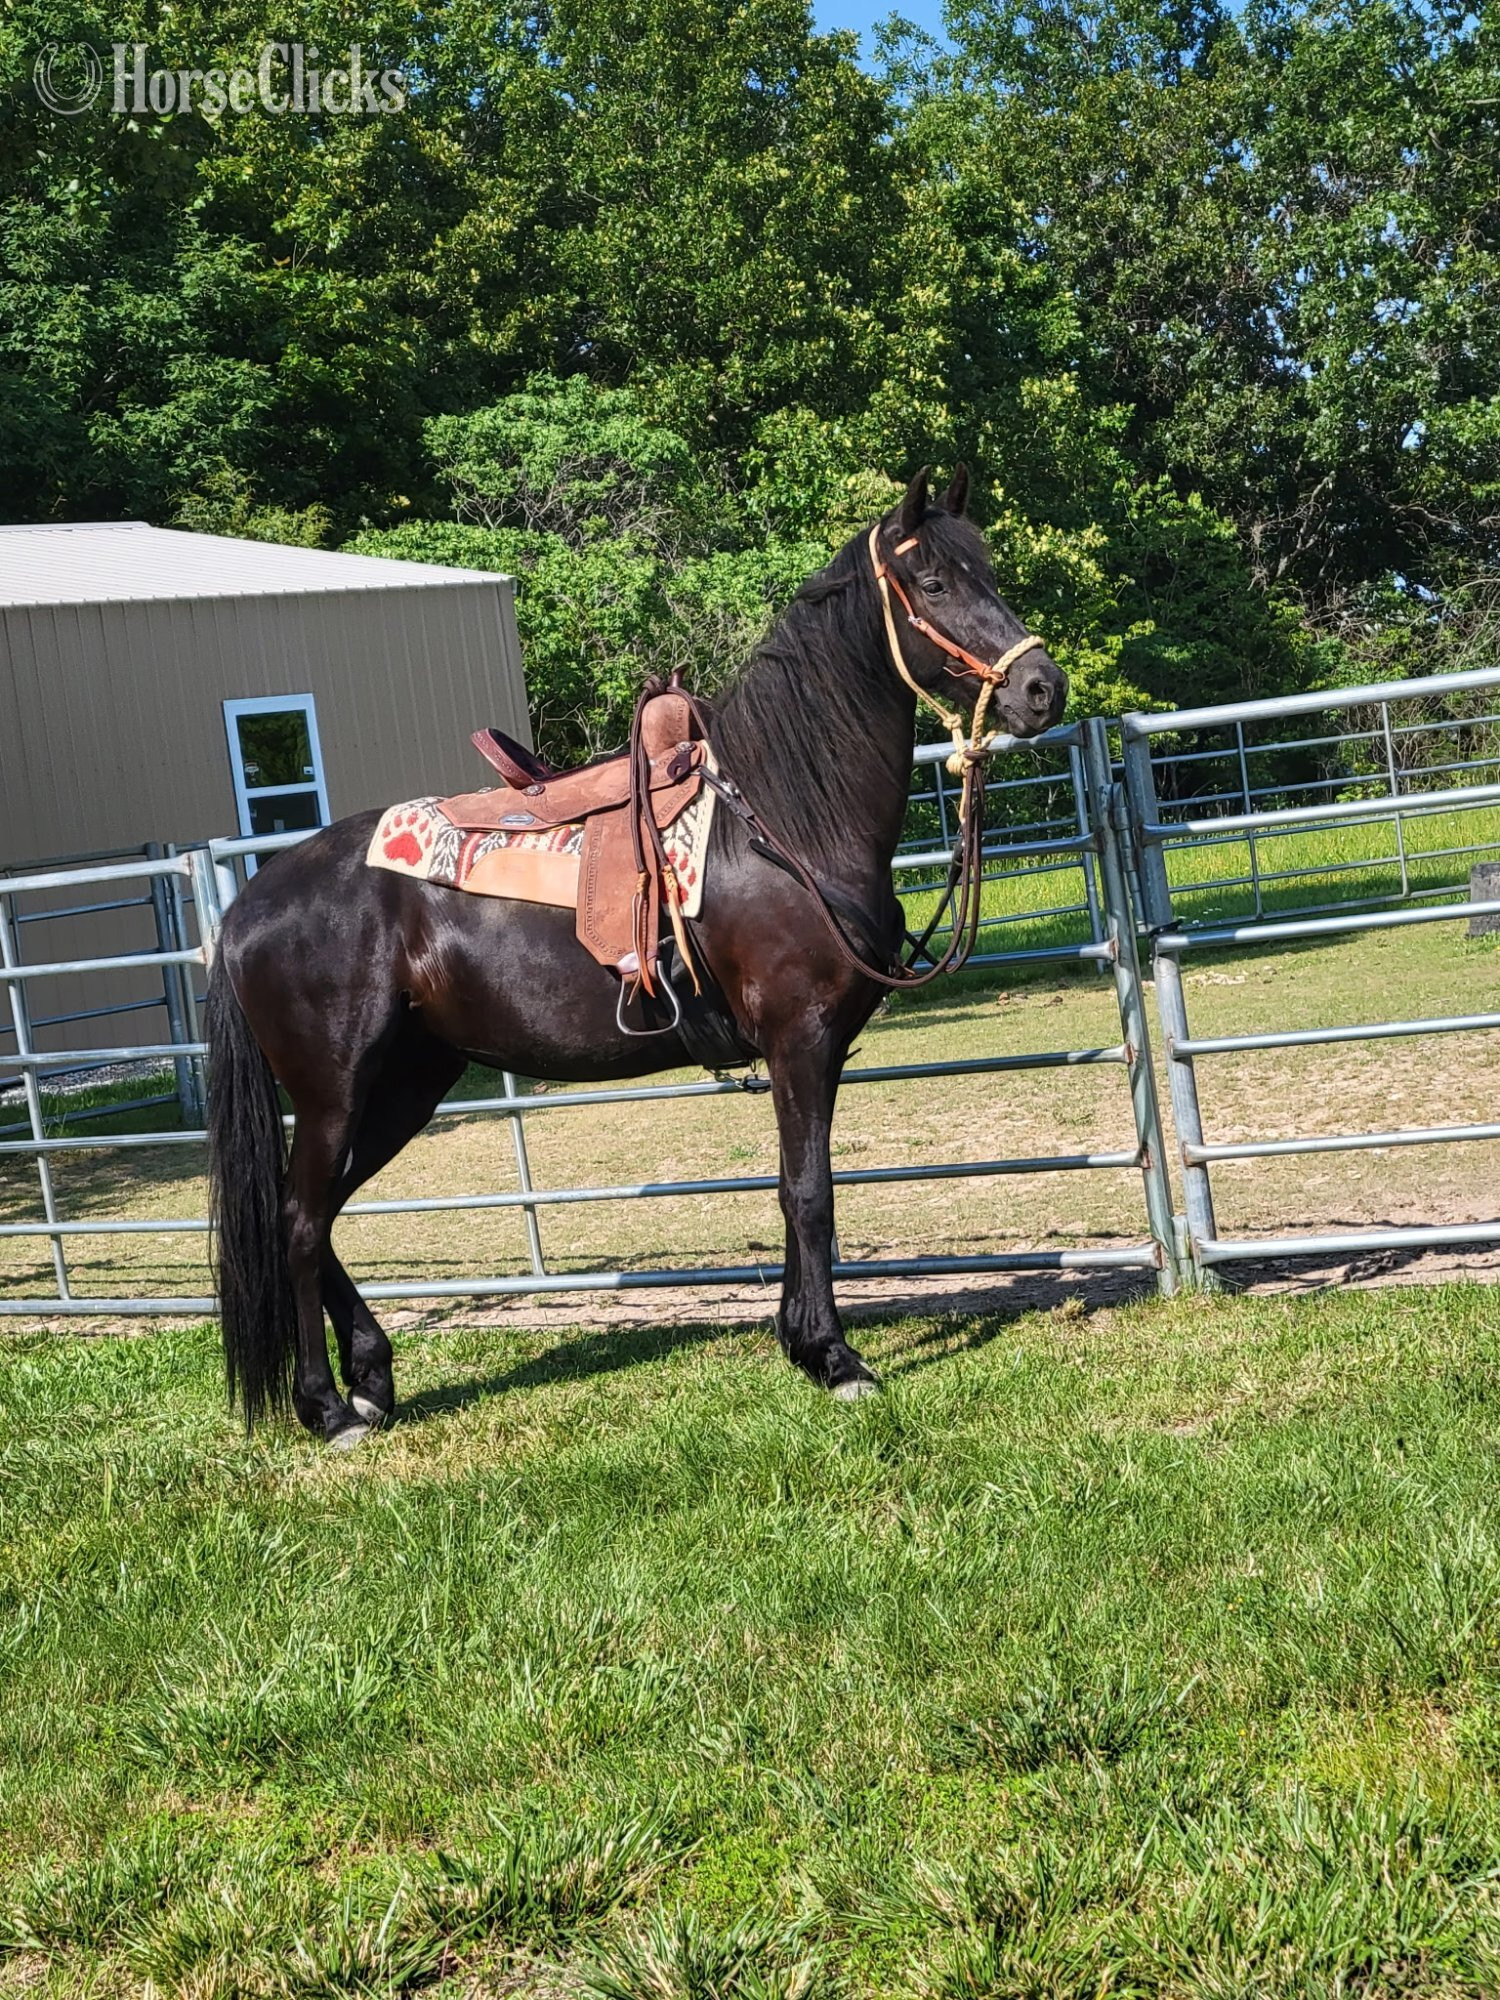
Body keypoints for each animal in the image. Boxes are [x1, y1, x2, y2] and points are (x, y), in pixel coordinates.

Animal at [205, 467, 1067, 1443]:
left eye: (988, 570)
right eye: (933, 582)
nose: (1044, 688)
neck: (777, 823)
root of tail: (250, 903)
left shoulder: (817, 1052)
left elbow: (791, 1187)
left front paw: (798, 1339)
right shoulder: (800, 1040)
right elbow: (810, 1192)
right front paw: (834, 1358)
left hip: (405, 1084)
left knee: (323, 1217)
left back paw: (373, 1379)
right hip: (334, 1093)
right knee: (299, 1221)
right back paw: (326, 1407)